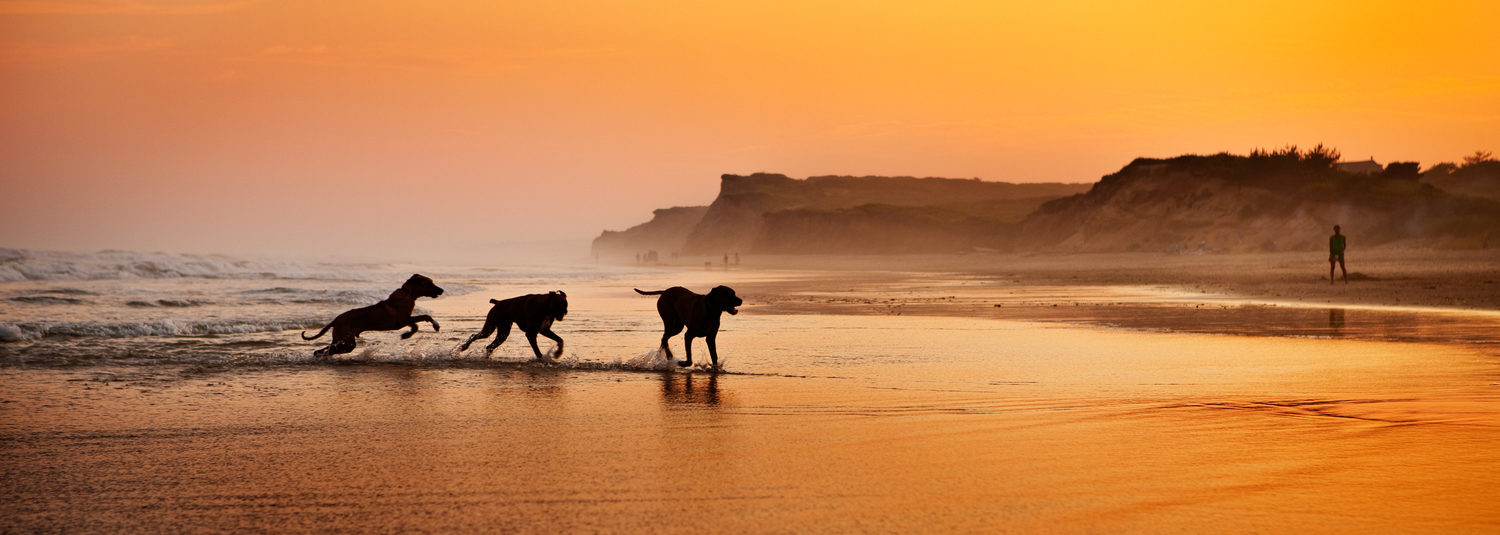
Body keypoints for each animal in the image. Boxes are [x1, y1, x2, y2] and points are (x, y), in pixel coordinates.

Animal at [300, 272, 441, 356]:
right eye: (429, 283)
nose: (442, 290)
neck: (407, 293)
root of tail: (336, 319)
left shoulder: (406, 320)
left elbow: (415, 326)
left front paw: (406, 335)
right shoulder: (403, 319)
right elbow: (425, 316)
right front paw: (435, 324)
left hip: (340, 339)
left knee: (324, 349)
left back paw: (318, 353)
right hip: (347, 343)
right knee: (330, 350)